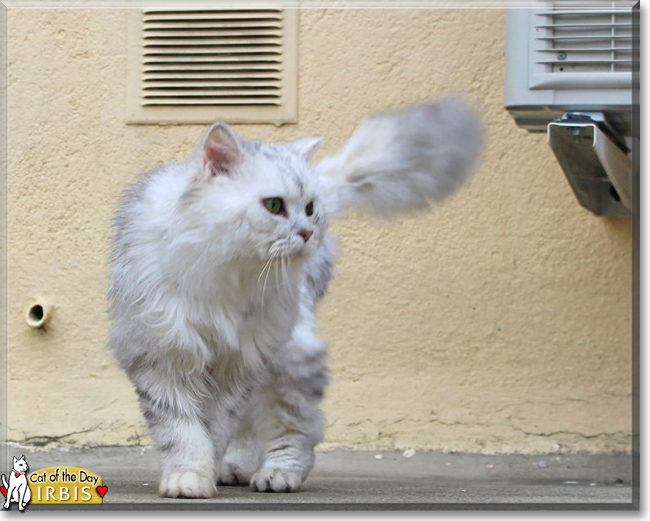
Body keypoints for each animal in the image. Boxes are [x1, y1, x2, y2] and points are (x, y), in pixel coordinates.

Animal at [107, 96, 480, 496]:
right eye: (274, 206)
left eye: (310, 208)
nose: (306, 233)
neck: (224, 272)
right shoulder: (164, 357)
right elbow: (183, 434)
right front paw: (189, 477)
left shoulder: (239, 362)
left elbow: (215, 428)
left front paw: (202, 472)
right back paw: (234, 468)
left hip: (288, 356)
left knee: (296, 429)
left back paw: (276, 475)